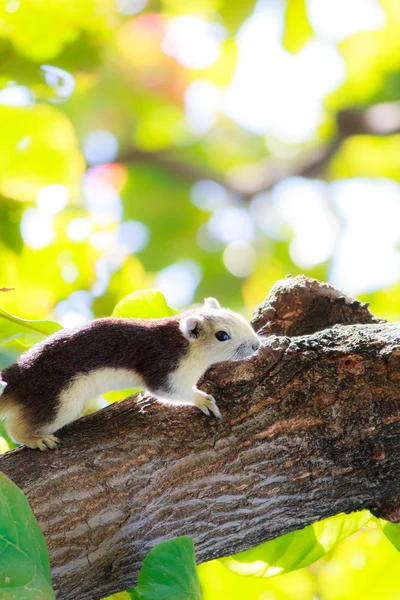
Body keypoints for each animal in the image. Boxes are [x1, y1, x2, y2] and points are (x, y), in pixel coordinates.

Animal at [0, 298, 260, 448]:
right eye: (222, 335)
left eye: (238, 317)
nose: (257, 345)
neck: (185, 345)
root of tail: (15, 378)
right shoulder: (164, 368)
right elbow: (169, 392)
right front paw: (202, 399)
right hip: (59, 402)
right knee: (16, 429)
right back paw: (37, 439)